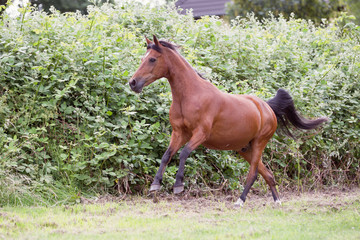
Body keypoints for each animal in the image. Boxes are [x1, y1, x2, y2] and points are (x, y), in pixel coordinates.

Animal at [129, 35, 330, 206]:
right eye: (143, 58)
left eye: (152, 59)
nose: (133, 83)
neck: (190, 96)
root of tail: (266, 107)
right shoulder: (179, 133)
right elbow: (166, 155)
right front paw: (155, 185)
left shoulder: (200, 134)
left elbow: (184, 153)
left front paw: (178, 185)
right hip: (245, 149)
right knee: (268, 174)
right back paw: (277, 202)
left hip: (259, 143)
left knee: (253, 174)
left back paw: (240, 201)